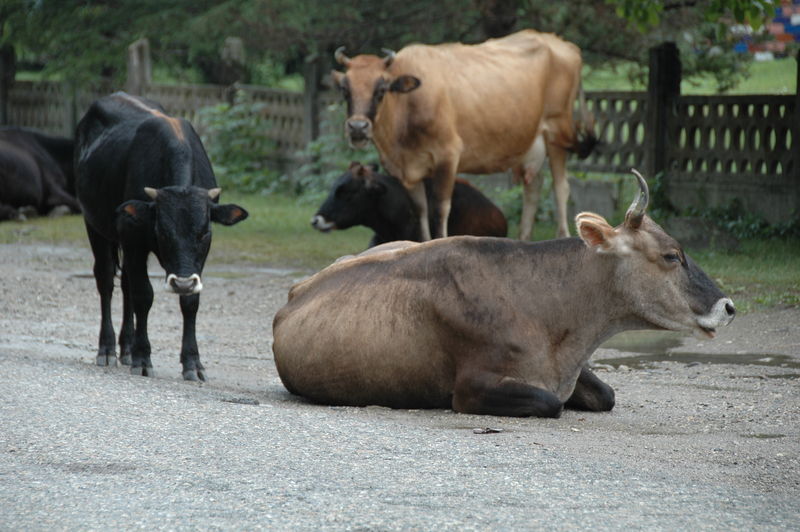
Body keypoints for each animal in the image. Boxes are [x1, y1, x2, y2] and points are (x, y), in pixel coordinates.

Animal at [77, 92, 250, 382]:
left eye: (204, 232)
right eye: (162, 231)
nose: (182, 282)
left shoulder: (196, 260)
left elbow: (190, 302)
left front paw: (192, 362)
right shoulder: (133, 237)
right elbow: (144, 295)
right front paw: (143, 357)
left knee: (126, 284)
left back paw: (126, 348)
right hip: (94, 224)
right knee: (106, 280)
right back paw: (108, 349)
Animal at [330, 29, 592, 241]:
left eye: (381, 89)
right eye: (344, 89)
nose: (357, 127)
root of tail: (562, 43)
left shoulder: (448, 156)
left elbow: (440, 209)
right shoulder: (405, 170)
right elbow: (420, 211)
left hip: (557, 131)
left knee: (560, 188)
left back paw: (562, 235)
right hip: (527, 142)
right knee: (534, 187)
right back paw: (524, 239)